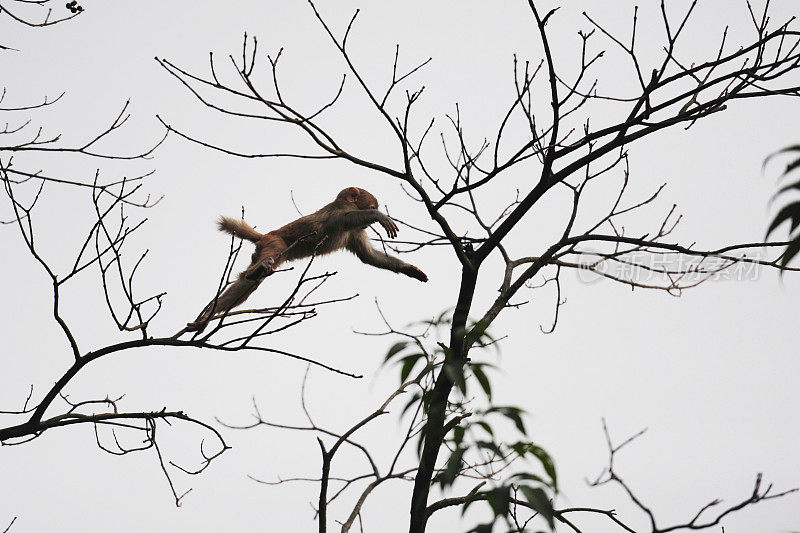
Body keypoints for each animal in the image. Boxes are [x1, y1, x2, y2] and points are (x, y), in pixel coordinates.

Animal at [187, 185, 424, 330]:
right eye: (372, 206)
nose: (369, 223)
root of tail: (266, 235)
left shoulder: (354, 233)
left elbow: (368, 256)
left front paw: (408, 269)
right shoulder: (342, 210)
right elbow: (341, 219)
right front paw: (379, 217)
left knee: (248, 283)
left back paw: (208, 315)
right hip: (276, 243)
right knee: (259, 269)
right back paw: (257, 271)